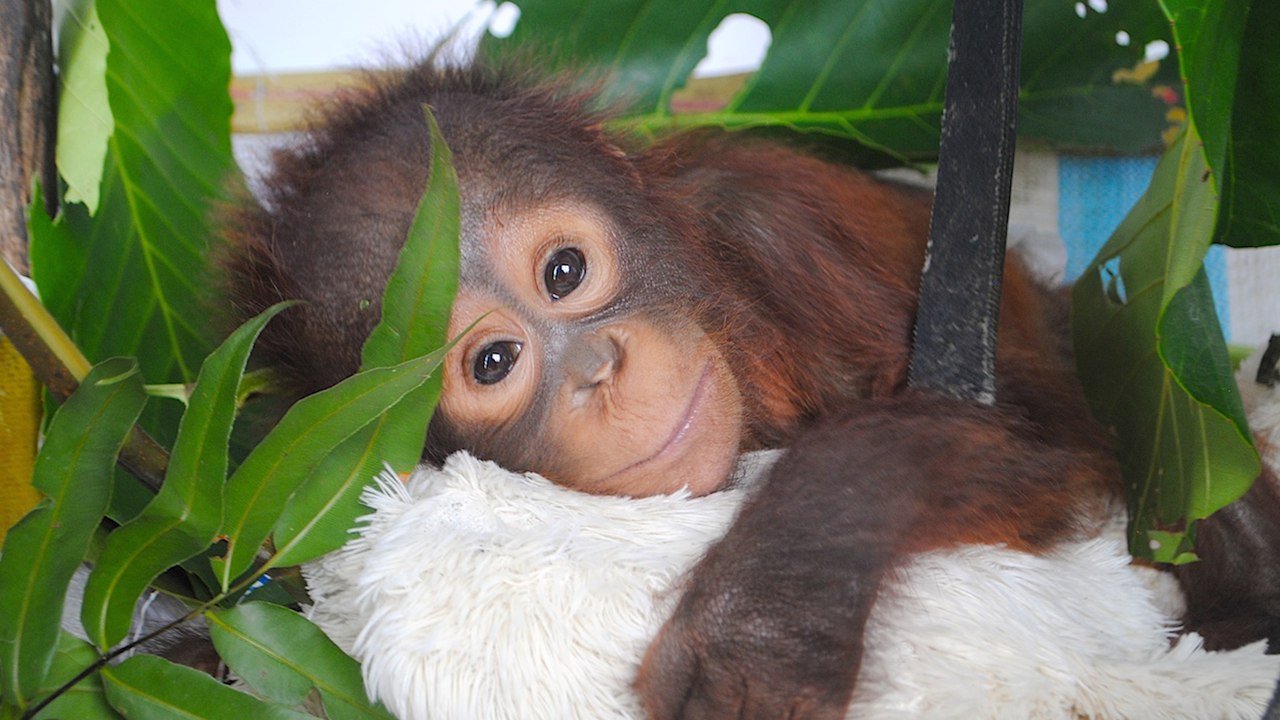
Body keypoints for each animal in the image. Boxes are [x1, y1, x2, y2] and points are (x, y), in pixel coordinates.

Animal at [219, 58, 1280, 718]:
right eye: (492, 365)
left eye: (565, 272)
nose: (599, 369)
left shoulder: (781, 231)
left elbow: (1022, 435)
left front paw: (761, 631)